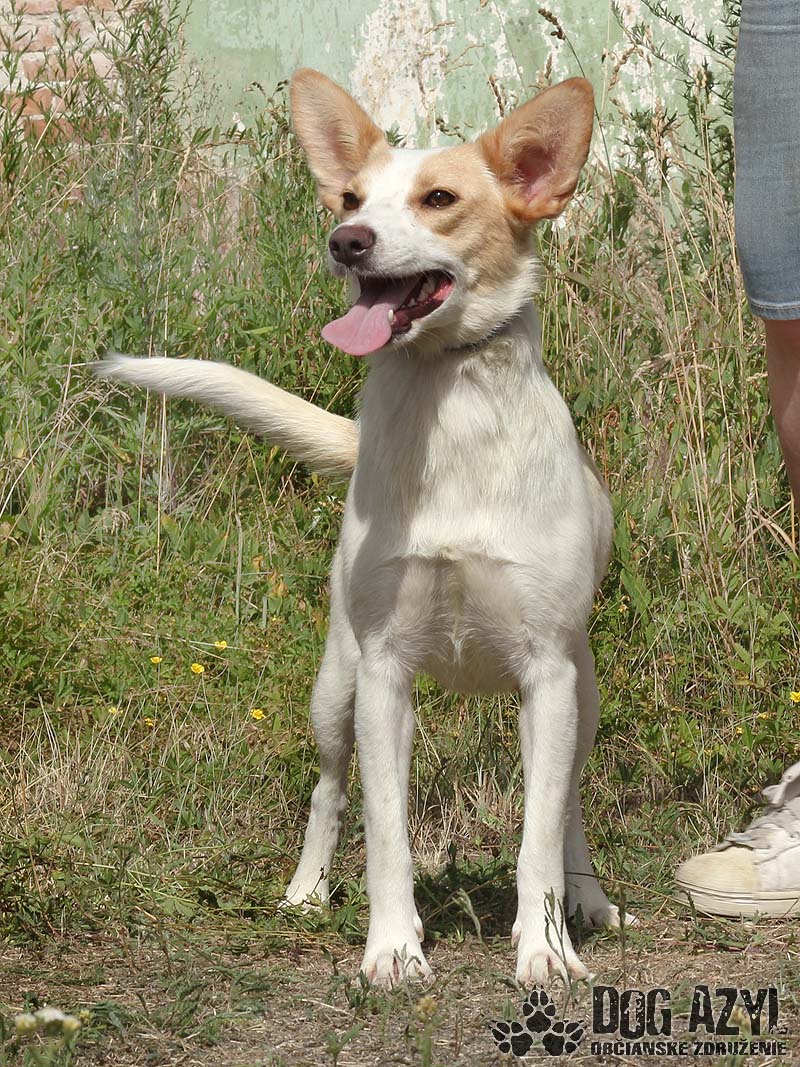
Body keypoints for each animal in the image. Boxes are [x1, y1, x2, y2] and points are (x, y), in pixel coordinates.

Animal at [94, 68, 631, 987]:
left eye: (439, 197)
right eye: (349, 197)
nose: (346, 240)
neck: (448, 411)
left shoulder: (548, 676)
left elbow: (535, 835)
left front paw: (545, 950)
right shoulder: (384, 673)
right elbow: (386, 832)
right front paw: (392, 948)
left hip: (580, 699)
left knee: (566, 811)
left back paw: (586, 902)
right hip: (334, 688)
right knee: (328, 790)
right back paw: (307, 893)